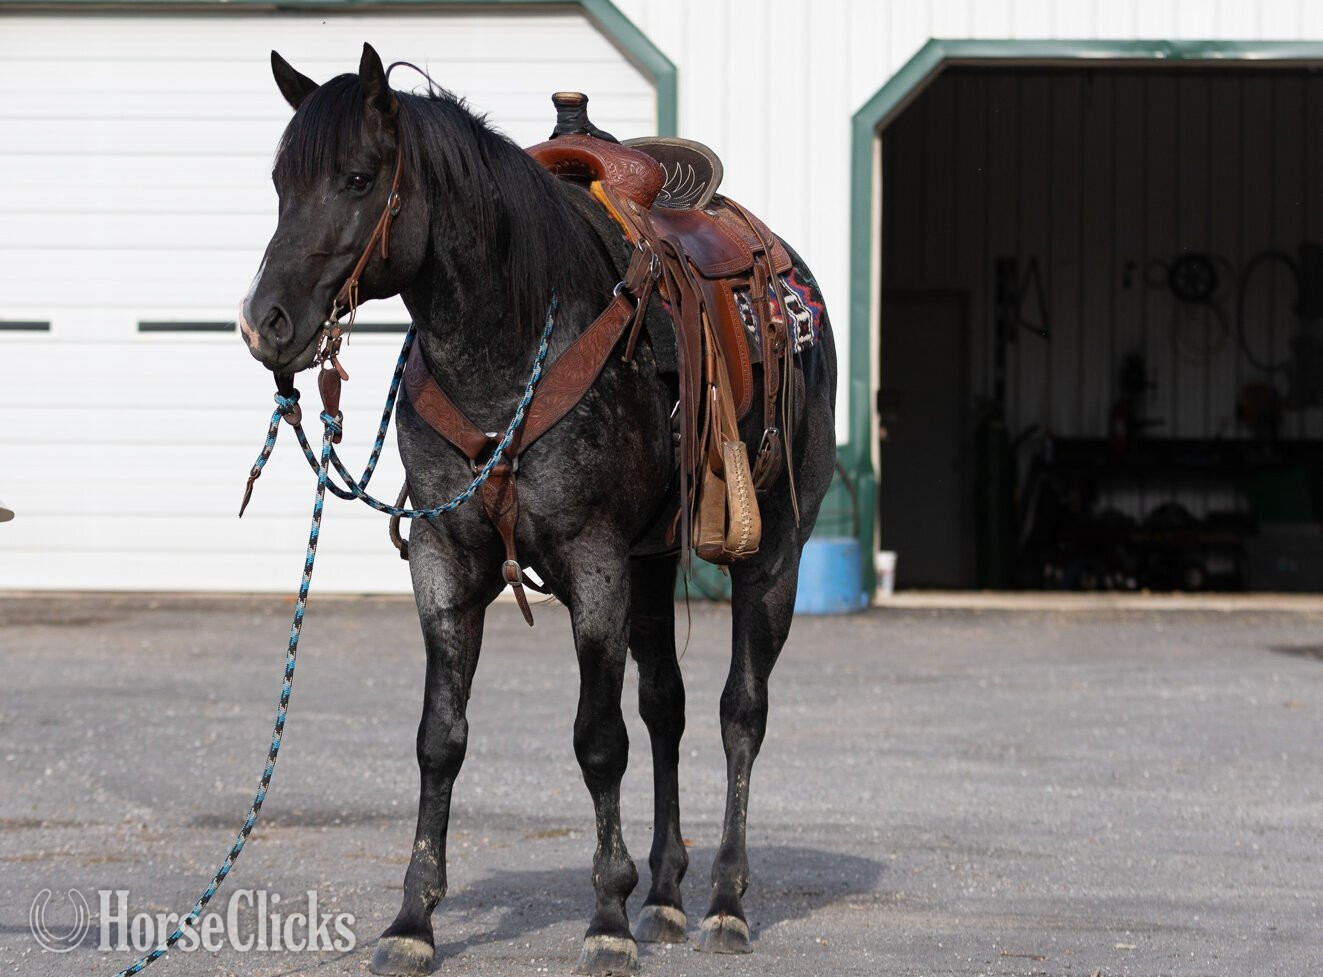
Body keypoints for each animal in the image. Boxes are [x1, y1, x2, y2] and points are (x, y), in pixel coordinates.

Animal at [238, 43, 838, 977]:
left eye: (358, 177)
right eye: (278, 183)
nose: (266, 323)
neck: (507, 343)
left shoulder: (593, 563)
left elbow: (598, 739)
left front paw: (606, 916)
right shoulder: (445, 561)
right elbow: (440, 738)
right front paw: (413, 919)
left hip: (772, 546)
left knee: (740, 711)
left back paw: (725, 901)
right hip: (651, 564)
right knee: (665, 704)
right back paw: (667, 894)